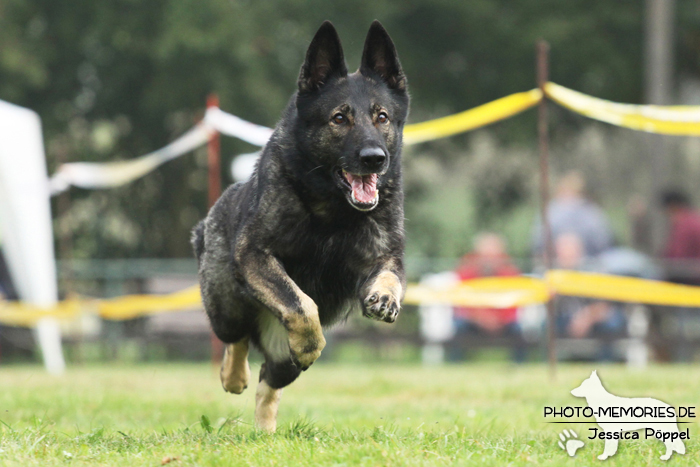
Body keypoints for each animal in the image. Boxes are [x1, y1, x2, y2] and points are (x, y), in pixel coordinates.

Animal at [191, 21, 410, 432]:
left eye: (382, 117)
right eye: (339, 118)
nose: (374, 158)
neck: (333, 213)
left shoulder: (385, 257)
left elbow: (390, 274)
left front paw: (385, 297)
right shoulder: (256, 255)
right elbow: (300, 303)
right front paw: (310, 343)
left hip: (280, 361)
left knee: (269, 383)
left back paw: (264, 431)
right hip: (227, 306)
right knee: (237, 340)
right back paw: (234, 376)